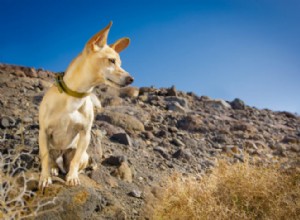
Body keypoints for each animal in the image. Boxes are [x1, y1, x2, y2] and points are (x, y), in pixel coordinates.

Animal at [37, 21, 134, 189]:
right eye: (112, 61)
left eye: (120, 63)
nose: (131, 79)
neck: (75, 96)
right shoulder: (43, 132)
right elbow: (45, 158)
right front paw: (45, 178)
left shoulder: (85, 134)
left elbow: (75, 162)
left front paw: (72, 177)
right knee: (51, 160)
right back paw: (54, 169)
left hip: (83, 154)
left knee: (76, 162)